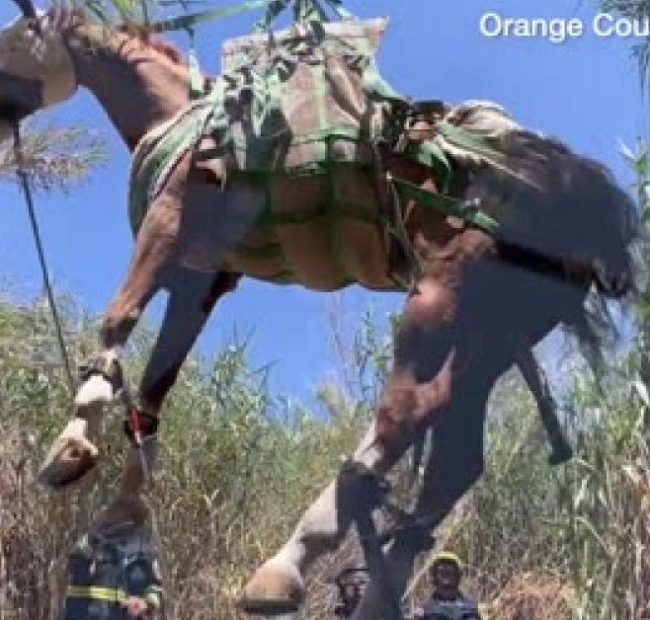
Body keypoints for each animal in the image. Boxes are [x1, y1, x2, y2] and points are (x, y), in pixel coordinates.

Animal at [0, 2, 638, 616]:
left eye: (15, 34)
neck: (182, 117)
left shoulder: (168, 226)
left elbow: (120, 317)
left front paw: (73, 443)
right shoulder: (199, 278)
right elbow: (157, 387)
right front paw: (125, 509)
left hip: (441, 298)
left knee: (407, 412)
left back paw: (293, 559)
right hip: (495, 332)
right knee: (454, 459)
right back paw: (372, 588)